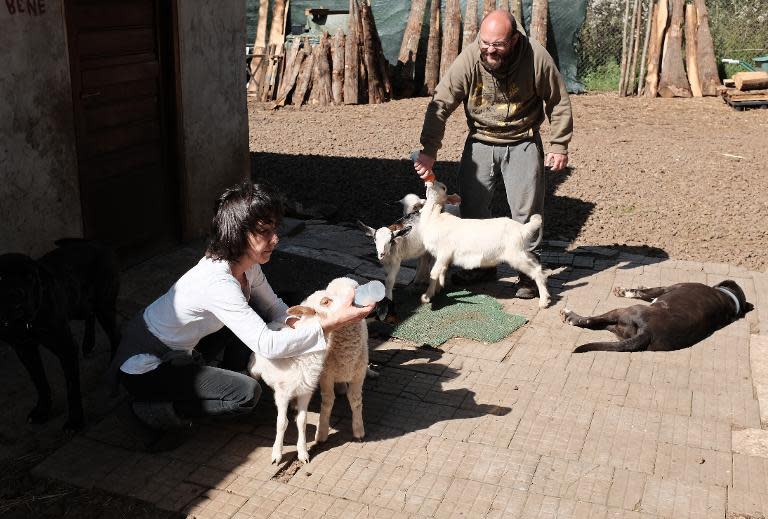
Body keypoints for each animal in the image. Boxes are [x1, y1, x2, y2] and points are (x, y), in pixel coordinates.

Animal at [0, 240, 120, 430]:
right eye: (1, 278)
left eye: (29, 277)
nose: (17, 294)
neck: (28, 322)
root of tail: (100, 243)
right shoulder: (25, 349)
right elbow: (39, 381)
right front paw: (42, 410)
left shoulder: (66, 348)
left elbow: (71, 388)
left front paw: (75, 421)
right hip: (78, 303)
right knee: (90, 314)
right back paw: (88, 343)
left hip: (104, 306)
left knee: (115, 335)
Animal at [246, 278, 366, 466]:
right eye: (326, 301)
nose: (353, 297)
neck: (301, 358)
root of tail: (273, 323)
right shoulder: (283, 394)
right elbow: (282, 422)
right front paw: (277, 454)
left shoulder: (305, 392)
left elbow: (302, 421)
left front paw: (303, 453)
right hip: (254, 369)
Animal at [416, 181, 548, 306]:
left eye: (443, 188)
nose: (431, 182)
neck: (434, 218)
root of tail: (522, 229)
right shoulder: (442, 257)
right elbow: (440, 272)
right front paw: (437, 289)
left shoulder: (444, 253)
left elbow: (434, 273)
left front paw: (426, 297)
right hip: (523, 252)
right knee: (537, 265)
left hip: (515, 255)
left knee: (536, 272)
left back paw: (543, 302)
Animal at [564, 280, 752, 354]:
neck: (730, 299)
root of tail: (648, 332)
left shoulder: (667, 288)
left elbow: (645, 292)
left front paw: (626, 291)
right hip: (619, 329)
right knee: (599, 324)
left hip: (621, 311)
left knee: (591, 321)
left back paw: (570, 316)